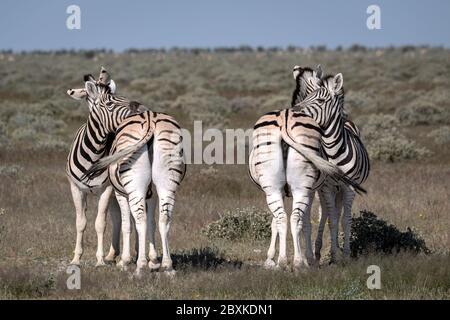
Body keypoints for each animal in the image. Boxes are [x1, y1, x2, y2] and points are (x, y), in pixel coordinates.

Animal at [79, 74, 186, 276]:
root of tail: (150, 119)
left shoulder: (121, 193)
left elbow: (127, 223)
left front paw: (126, 261)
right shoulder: (151, 193)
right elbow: (152, 221)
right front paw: (154, 260)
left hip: (134, 183)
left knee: (140, 219)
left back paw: (140, 266)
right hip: (167, 180)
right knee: (164, 218)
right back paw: (168, 266)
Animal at [248, 66, 360, 268]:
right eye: (339, 99)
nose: (346, 116)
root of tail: (285, 121)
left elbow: (279, 222)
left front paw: (272, 258)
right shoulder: (309, 190)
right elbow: (303, 222)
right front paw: (304, 257)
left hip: (280, 186)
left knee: (285, 217)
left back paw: (288, 261)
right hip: (301, 186)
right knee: (296, 217)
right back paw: (297, 261)